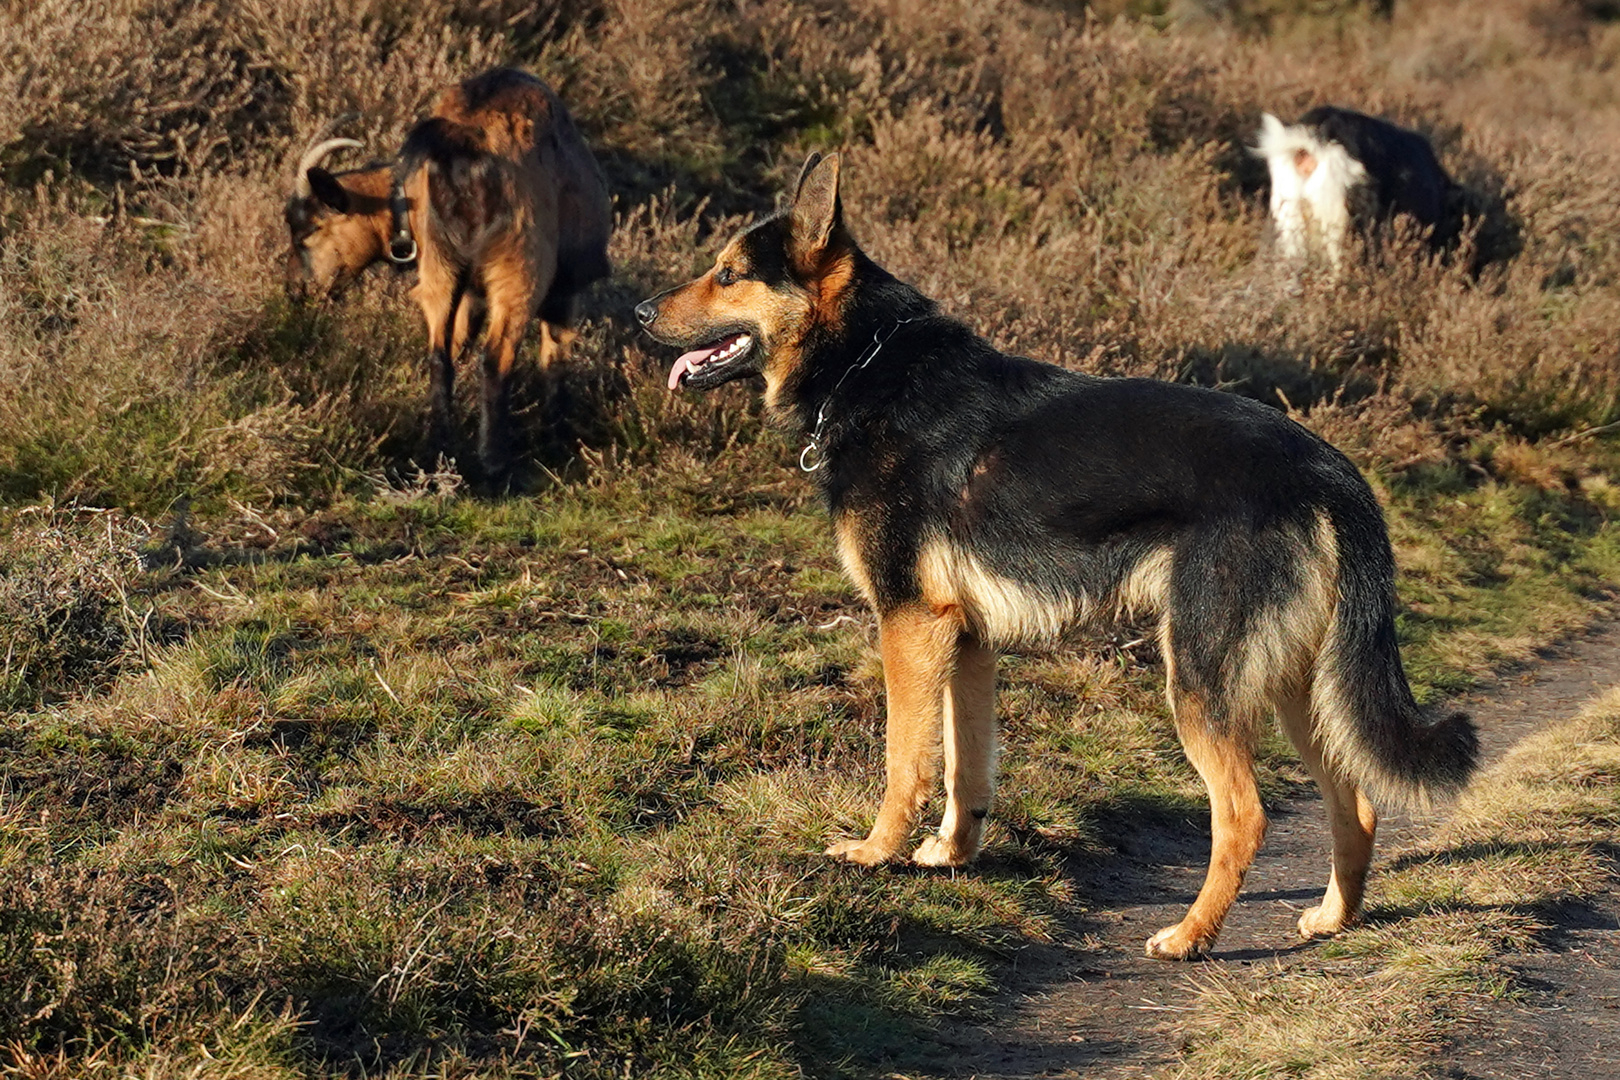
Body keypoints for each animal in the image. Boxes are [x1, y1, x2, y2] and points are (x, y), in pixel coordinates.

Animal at [281, 69, 609, 482]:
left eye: (308, 230)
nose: (296, 290)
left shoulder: (468, 293)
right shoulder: (567, 291)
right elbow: (556, 358)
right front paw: (557, 441)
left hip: (441, 269)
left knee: (440, 356)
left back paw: (436, 452)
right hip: (520, 271)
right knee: (497, 358)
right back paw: (495, 464)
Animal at [631, 153, 1483, 965]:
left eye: (728, 274)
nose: (637, 312)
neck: (863, 364)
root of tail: (1328, 469)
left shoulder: (908, 628)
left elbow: (904, 761)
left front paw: (876, 853)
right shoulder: (963, 642)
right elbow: (965, 765)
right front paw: (949, 853)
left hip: (1202, 682)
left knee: (1245, 816)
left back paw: (1190, 936)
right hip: (1294, 685)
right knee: (1357, 800)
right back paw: (1332, 918)